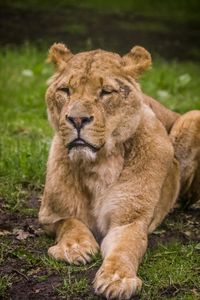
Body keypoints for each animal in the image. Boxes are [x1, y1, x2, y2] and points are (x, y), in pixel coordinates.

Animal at [39, 43, 200, 298]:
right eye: (65, 90)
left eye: (105, 92)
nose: (77, 119)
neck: (97, 166)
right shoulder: (49, 215)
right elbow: (69, 223)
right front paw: (74, 248)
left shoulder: (129, 221)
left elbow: (125, 249)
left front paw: (117, 279)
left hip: (194, 116)